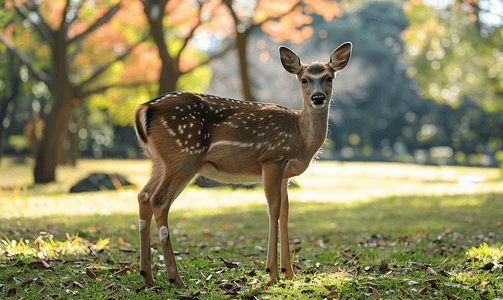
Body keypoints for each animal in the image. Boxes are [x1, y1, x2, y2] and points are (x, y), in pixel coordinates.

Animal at [136, 41, 352, 288]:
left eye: (329, 78)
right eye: (304, 79)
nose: (318, 98)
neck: (300, 136)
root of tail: (143, 109)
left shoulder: (286, 173)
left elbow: (286, 210)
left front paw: (289, 272)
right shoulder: (272, 159)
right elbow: (273, 208)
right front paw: (272, 272)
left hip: (159, 161)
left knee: (143, 196)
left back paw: (147, 275)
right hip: (183, 156)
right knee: (159, 200)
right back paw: (176, 278)